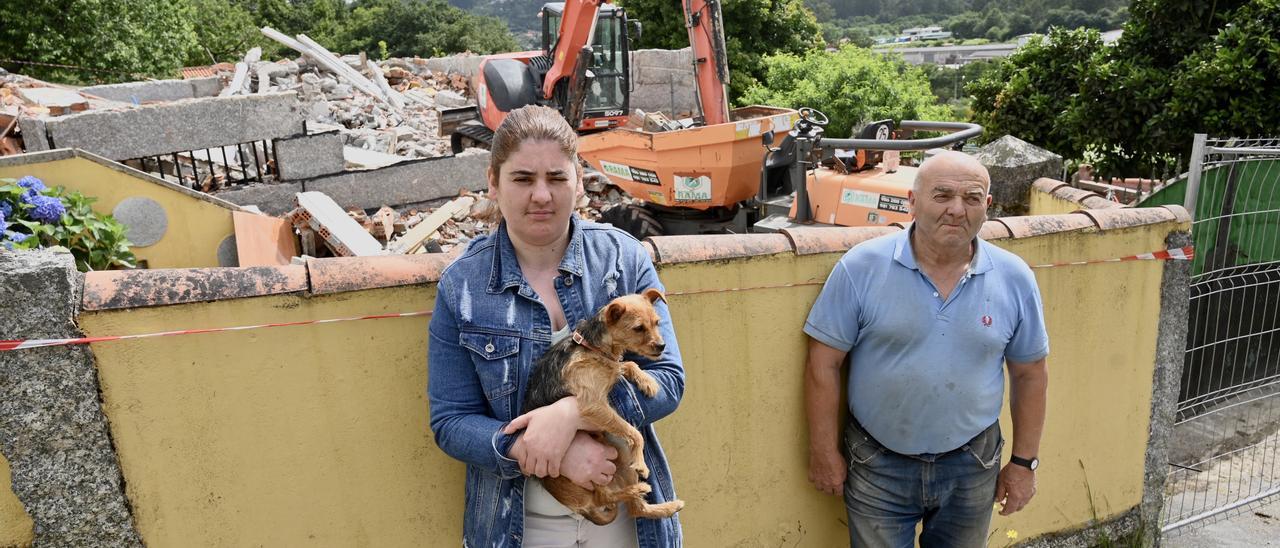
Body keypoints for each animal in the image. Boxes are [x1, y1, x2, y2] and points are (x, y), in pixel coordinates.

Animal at [519, 284, 686, 524]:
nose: (662, 346)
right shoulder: (594, 404)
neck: (592, 346)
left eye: (657, 322)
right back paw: (639, 488)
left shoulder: (611, 368)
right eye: (638, 328)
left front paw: (647, 381)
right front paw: (642, 463)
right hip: (584, 477)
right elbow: (635, 433)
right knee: (604, 497)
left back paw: (665, 505)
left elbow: (628, 364)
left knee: (635, 509)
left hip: (621, 457)